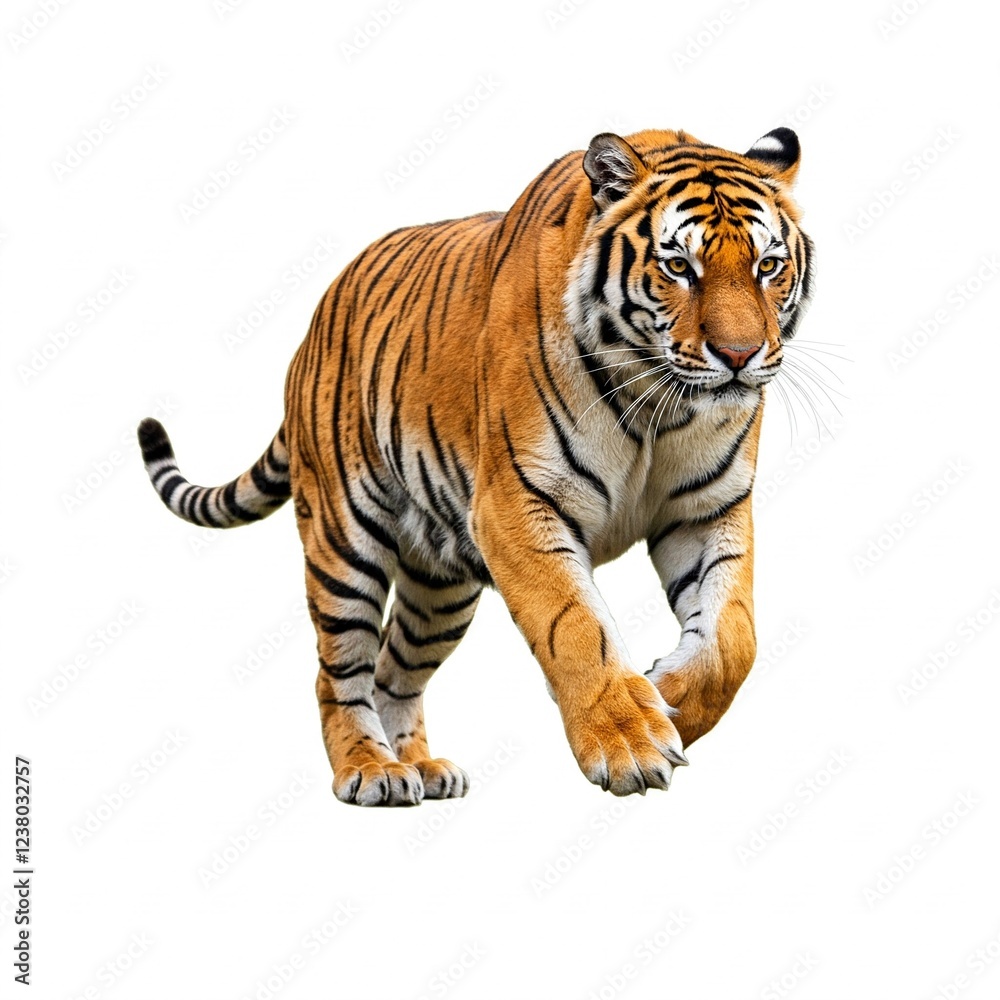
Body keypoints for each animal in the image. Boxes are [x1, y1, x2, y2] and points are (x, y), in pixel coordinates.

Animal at [138, 126, 813, 807]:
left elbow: (734, 640)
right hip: (343, 542)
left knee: (395, 669)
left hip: (441, 588)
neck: (659, 405)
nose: (739, 355)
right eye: (679, 267)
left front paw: (666, 692)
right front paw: (629, 739)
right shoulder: (518, 505)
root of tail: (312, 326)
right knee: (340, 672)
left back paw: (421, 768)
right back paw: (371, 769)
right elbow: (574, 626)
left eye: (767, 266)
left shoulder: (708, 509)